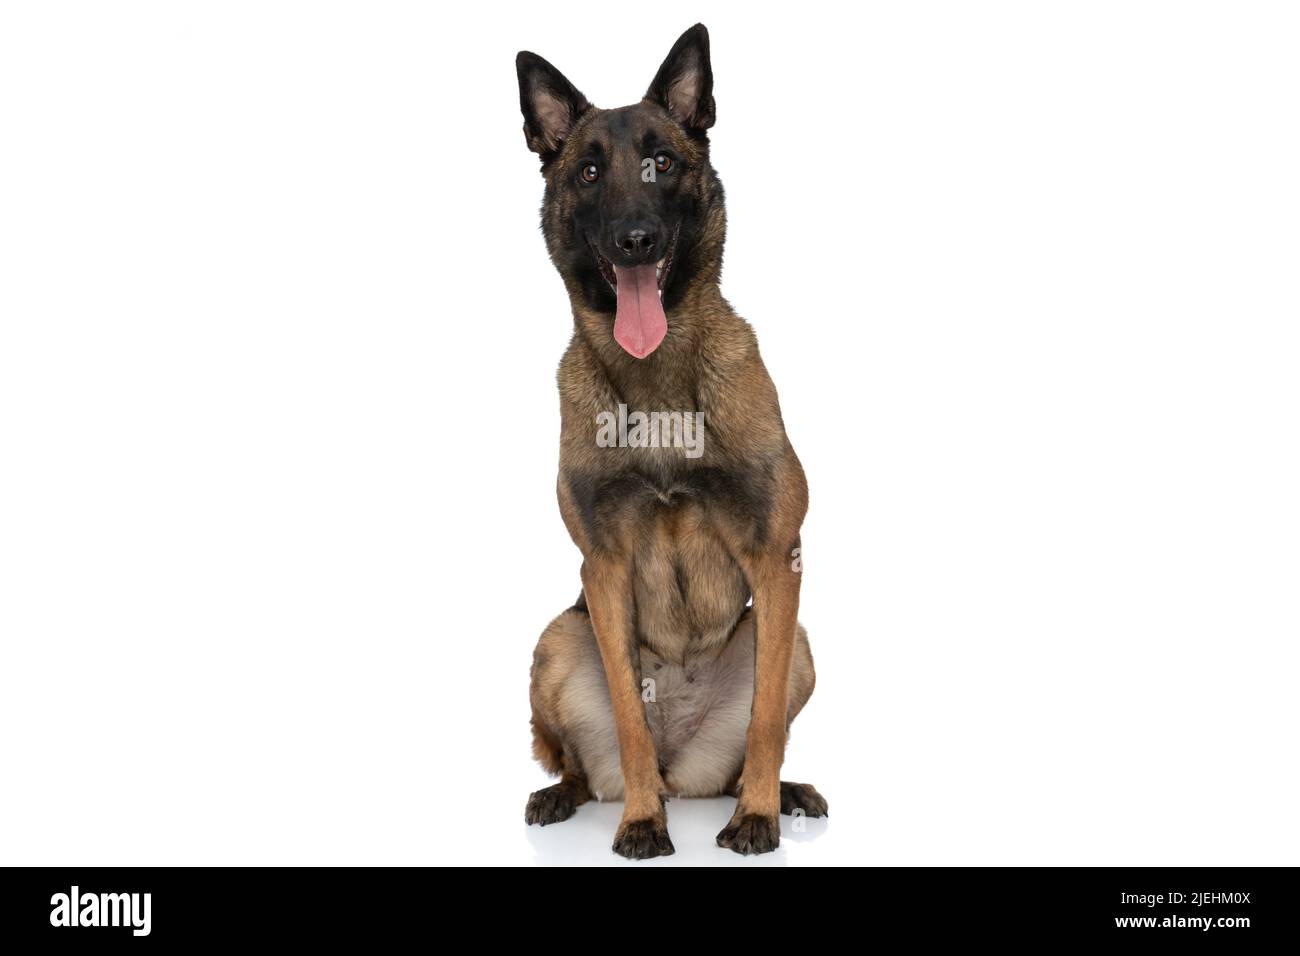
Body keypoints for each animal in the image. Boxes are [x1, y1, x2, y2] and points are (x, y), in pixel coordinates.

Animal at [514, 24, 821, 858]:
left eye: (665, 163)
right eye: (590, 172)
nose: (635, 239)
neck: (656, 393)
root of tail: (687, 767)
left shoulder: (775, 558)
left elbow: (764, 723)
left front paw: (757, 816)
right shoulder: (604, 569)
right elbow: (627, 716)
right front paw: (642, 821)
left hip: (798, 641)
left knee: (754, 738)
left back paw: (775, 793)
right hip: (559, 637)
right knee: (588, 760)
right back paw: (571, 795)